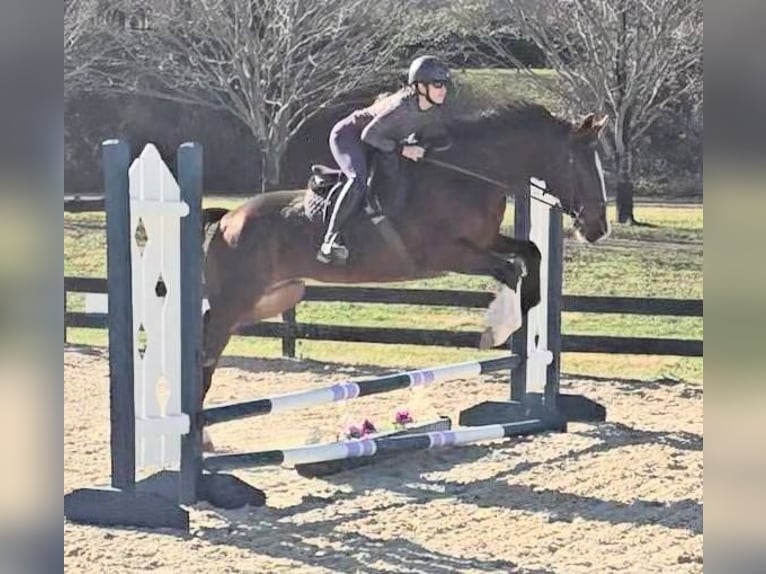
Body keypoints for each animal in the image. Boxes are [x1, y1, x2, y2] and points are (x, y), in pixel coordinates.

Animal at [198, 103, 610, 448]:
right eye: (581, 165)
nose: (598, 228)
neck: (470, 176)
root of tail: (227, 219)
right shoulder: (448, 254)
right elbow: (508, 270)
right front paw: (499, 327)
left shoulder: (486, 241)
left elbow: (531, 252)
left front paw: (528, 307)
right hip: (235, 302)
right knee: (205, 353)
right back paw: (198, 438)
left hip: (273, 298)